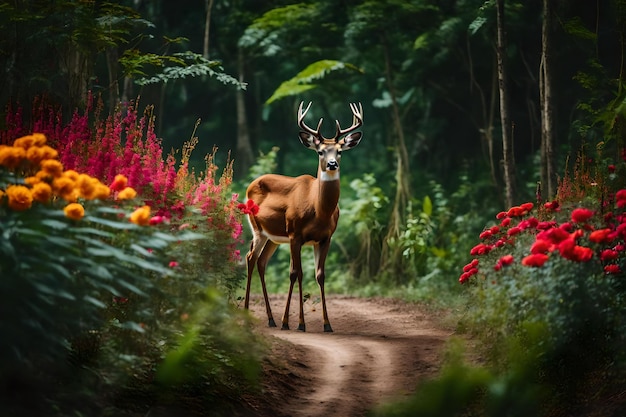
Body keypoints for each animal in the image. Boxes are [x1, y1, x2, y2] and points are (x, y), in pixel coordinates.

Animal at [241, 101, 364, 332]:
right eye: (320, 152)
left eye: (340, 151)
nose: (332, 164)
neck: (318, 210)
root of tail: (250, 185)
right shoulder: (295, 234)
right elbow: (295, 273)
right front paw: (294, 322)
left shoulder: (325, 238)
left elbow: (320, 275)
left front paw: (327, 324)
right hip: (258, 229)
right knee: (250, 258)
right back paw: (247, 315)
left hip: (273, 238)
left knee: (261, 262)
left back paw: (270, 319)